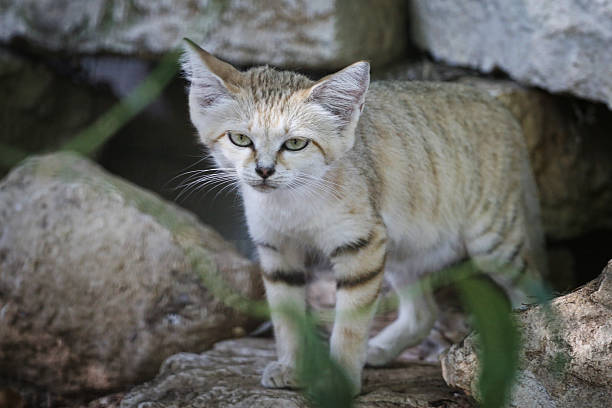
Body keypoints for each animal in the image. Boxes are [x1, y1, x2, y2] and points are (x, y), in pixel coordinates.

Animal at [180, 39, 544, 396]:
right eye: (240, 139)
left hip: (492, 243)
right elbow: (286, 319)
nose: (264, 171)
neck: (292, 202)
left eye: (295, 143)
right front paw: (292, 367)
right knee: (424, 313)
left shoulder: (361, 245)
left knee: (534, 291)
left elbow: (350, 325)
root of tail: (501, 109)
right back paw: (380, 350)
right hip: (402, 248)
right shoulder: (277, 250)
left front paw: (339, 379)